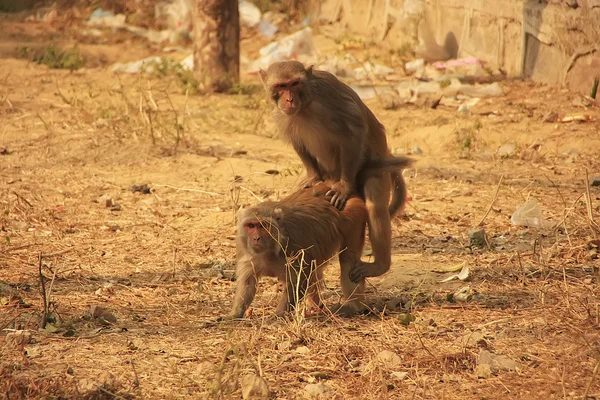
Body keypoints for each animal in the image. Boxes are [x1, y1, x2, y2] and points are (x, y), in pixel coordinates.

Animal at [260, 61, 410, 282]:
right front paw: (313, 177)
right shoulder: (280, 114)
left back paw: (380, 265)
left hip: (375, 171)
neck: (306, 103)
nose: (289, 99)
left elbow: (352, 131)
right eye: (281, 86)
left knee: (375, 204)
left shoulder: (329, 96)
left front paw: (343, 187)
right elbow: (298, 142)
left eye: (295, 83)